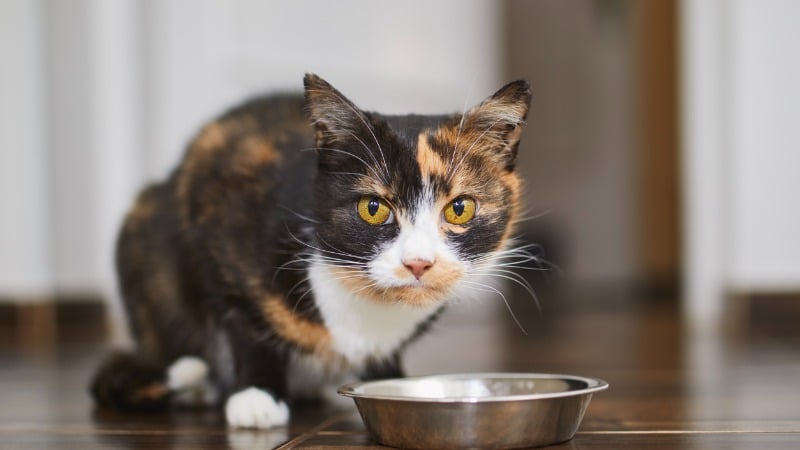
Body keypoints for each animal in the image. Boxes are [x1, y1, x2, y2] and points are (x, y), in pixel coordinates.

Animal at [89, 74, 532, 428]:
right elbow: (243, 318)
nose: (418, 262)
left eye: (460, 208)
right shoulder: (221, 216)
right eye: (373, 208)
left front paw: (392, 379)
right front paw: (257, 396)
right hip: (142, 227)